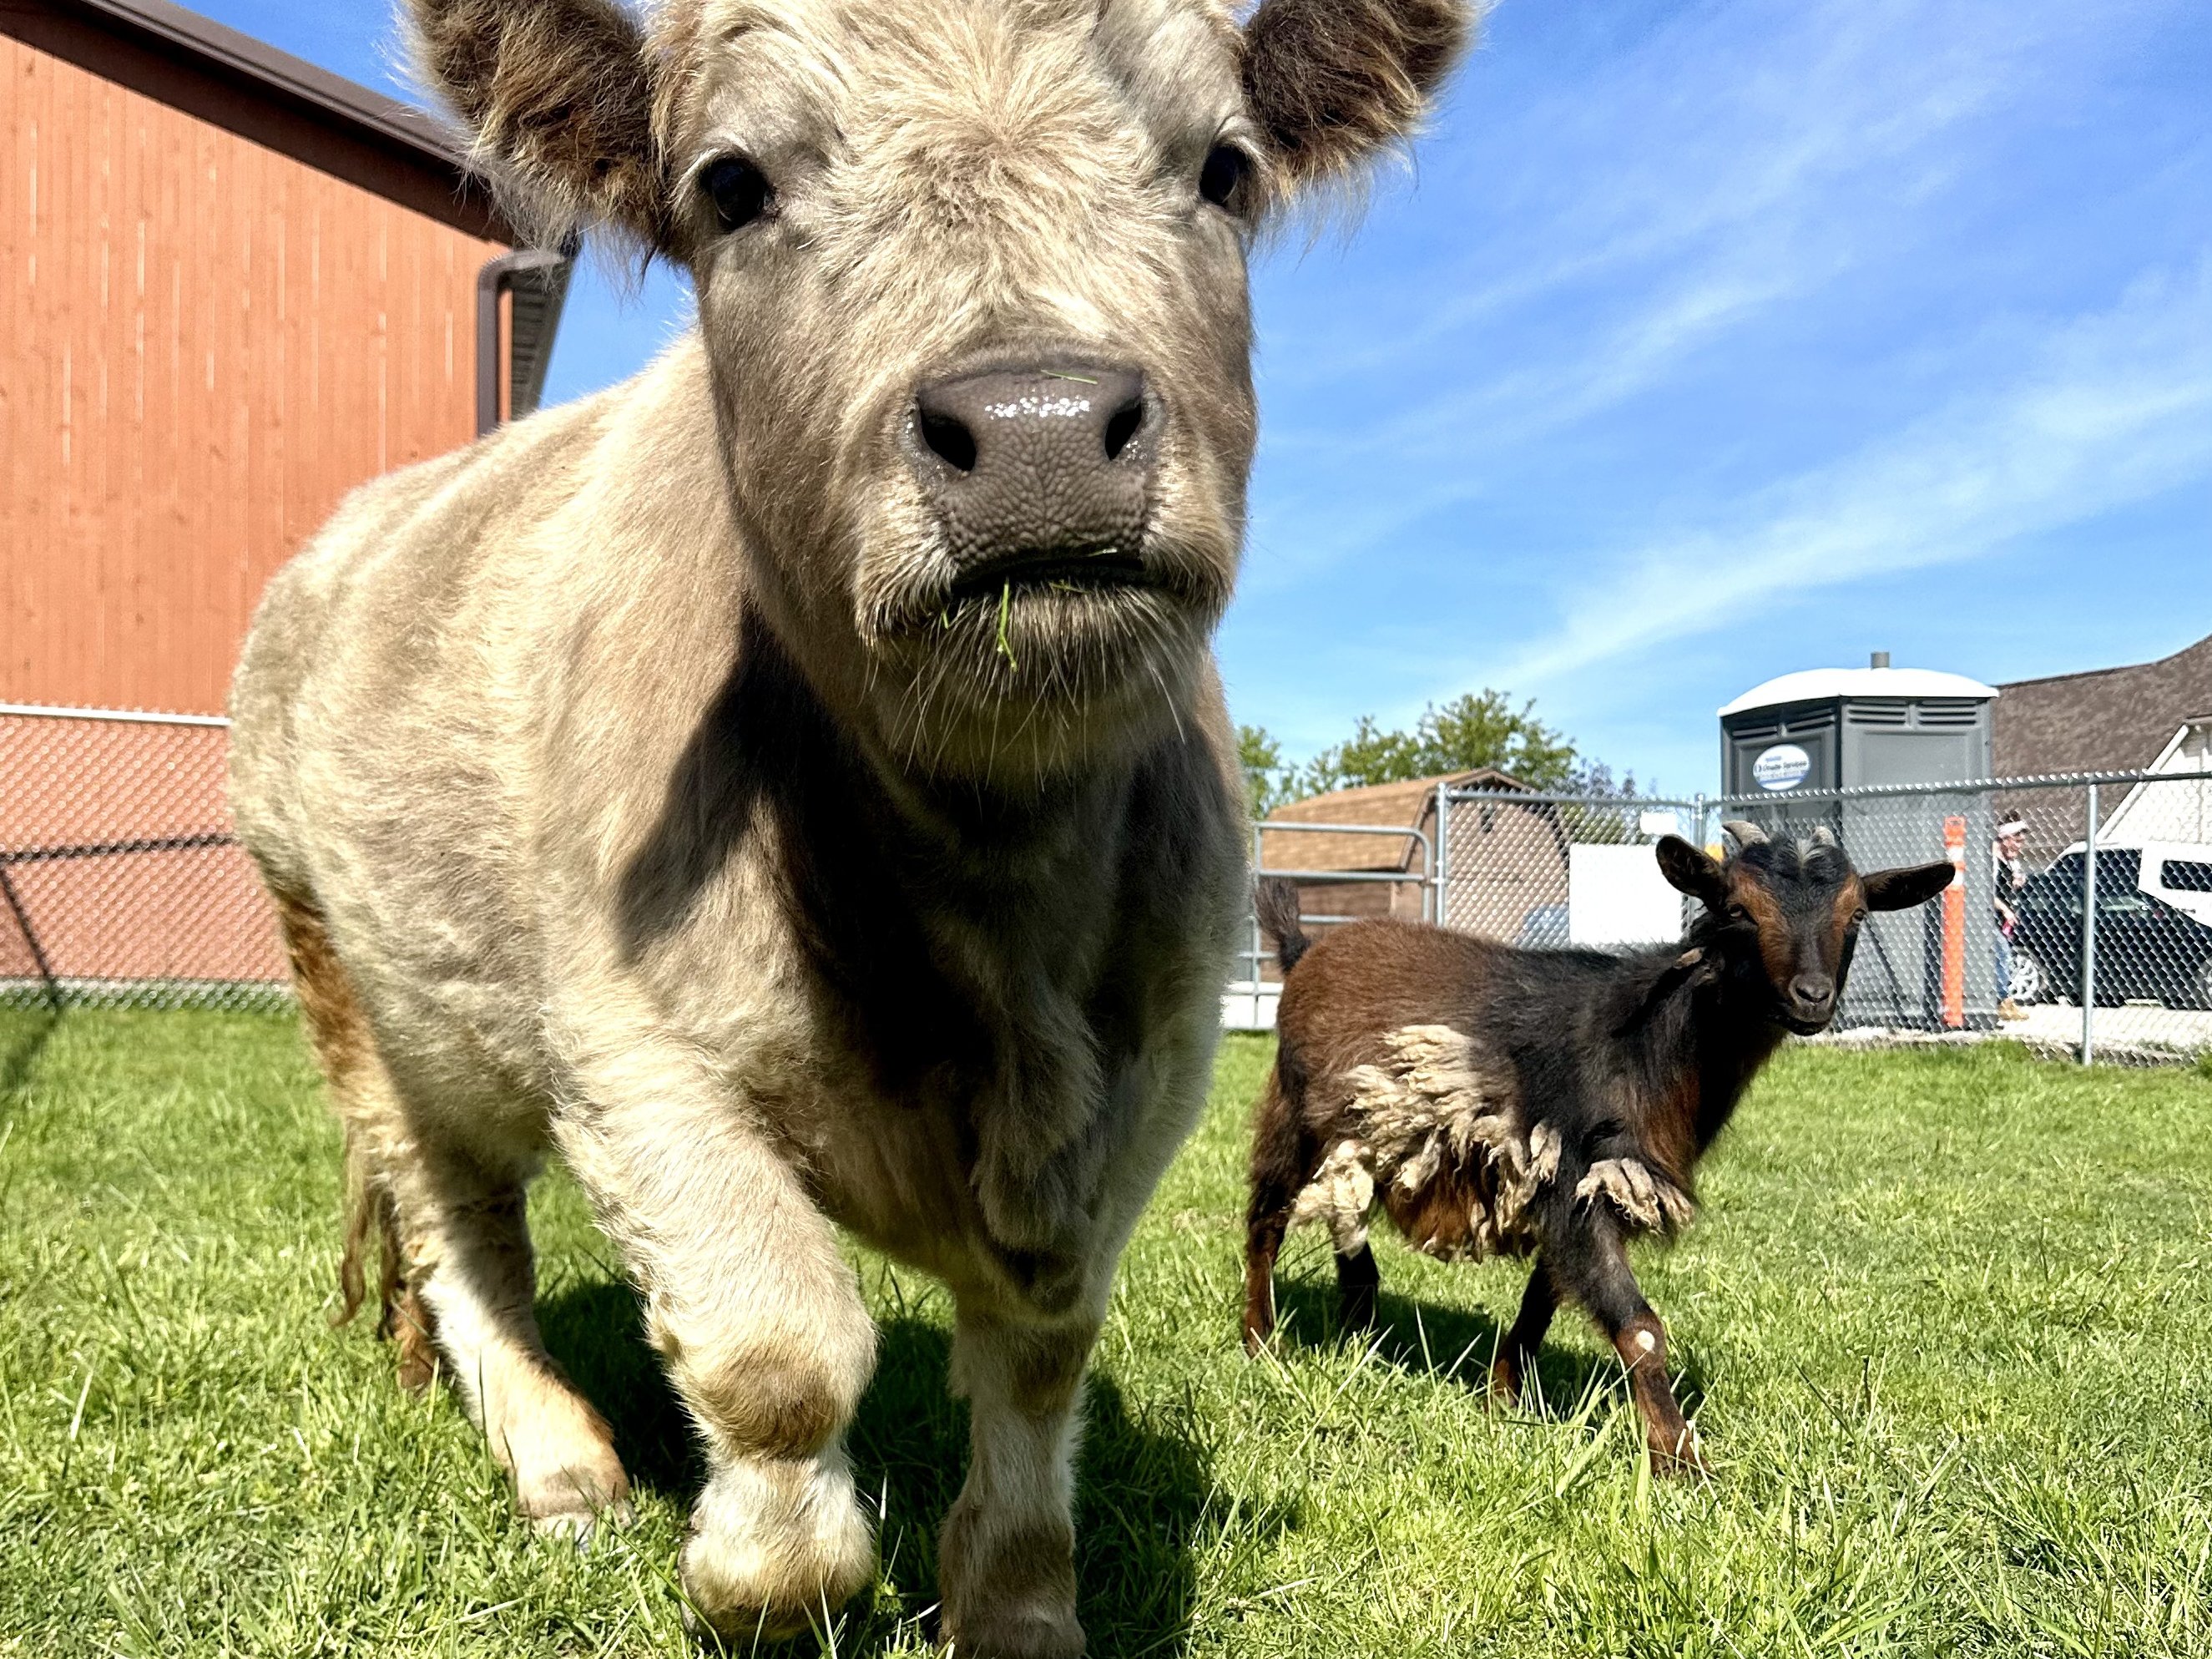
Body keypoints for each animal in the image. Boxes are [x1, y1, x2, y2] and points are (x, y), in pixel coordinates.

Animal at [225, 0, 1468, 1650]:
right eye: (732, 186)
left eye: (1224, 167)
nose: (1038, 427)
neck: (993, 898)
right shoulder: (633, 1053)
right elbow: (779, 1352)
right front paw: (760, 1580)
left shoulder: (1156, 1064)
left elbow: (1043, 1352)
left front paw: (1015, 1603)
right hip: (346, 978)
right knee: (460, 1228)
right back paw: (564, 1466)